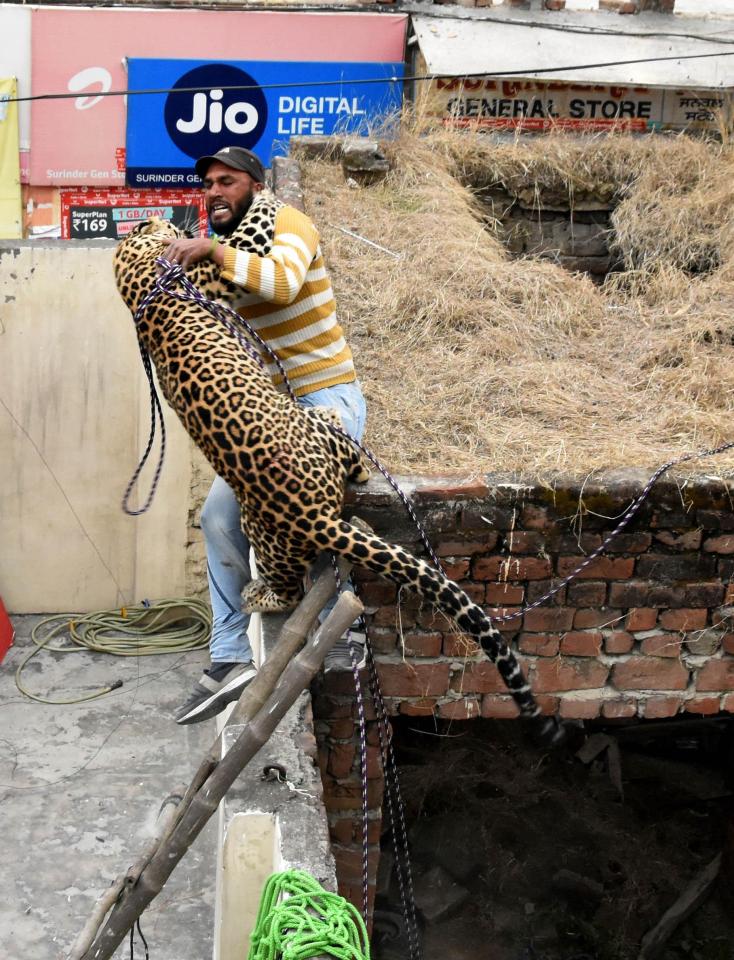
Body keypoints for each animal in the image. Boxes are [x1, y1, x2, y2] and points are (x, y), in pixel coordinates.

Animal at [113, 214, 564, 748]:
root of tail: (316, 517)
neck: (134, 275)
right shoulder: (212, 279)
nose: (170, 218)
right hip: (301, 464)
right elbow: (247, 242)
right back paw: (262, 587)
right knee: (294, 576)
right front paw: (247, 221)